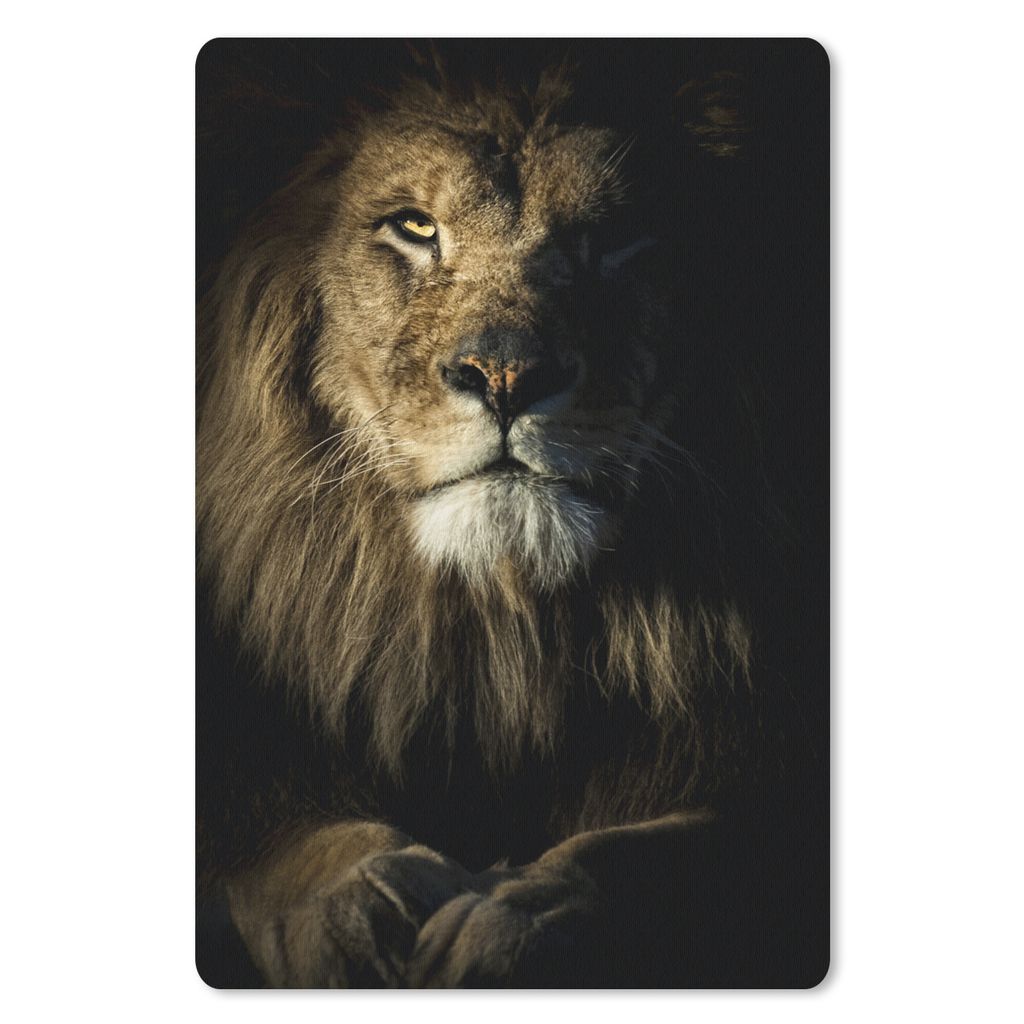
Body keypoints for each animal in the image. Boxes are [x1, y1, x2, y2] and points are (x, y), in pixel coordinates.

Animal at [197, 59, 827, 988]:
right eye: (415, 227)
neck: (501, 631)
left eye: (616, 238)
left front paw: (515, 925)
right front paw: (363, 904)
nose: (504, 375)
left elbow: (649, 853)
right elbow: (279, 831)